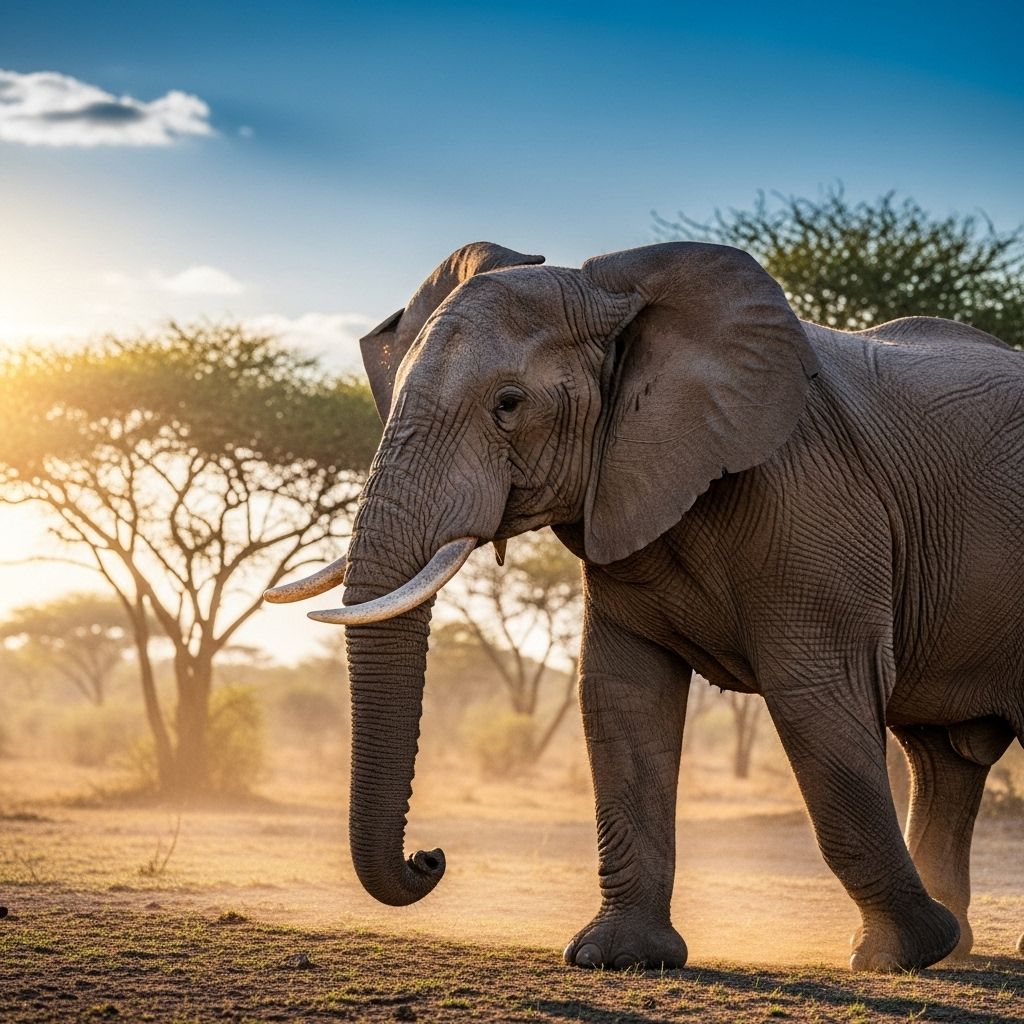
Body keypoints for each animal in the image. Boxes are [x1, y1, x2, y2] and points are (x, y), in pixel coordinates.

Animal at [267, 240, 1024, 972]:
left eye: (508, 403)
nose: (431, 856)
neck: (617, 294)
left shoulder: (813, 495)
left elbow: (818, 696)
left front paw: (899, 957)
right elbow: (620, 693)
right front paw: (617, 958)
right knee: (942, 759)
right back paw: (959, 944)